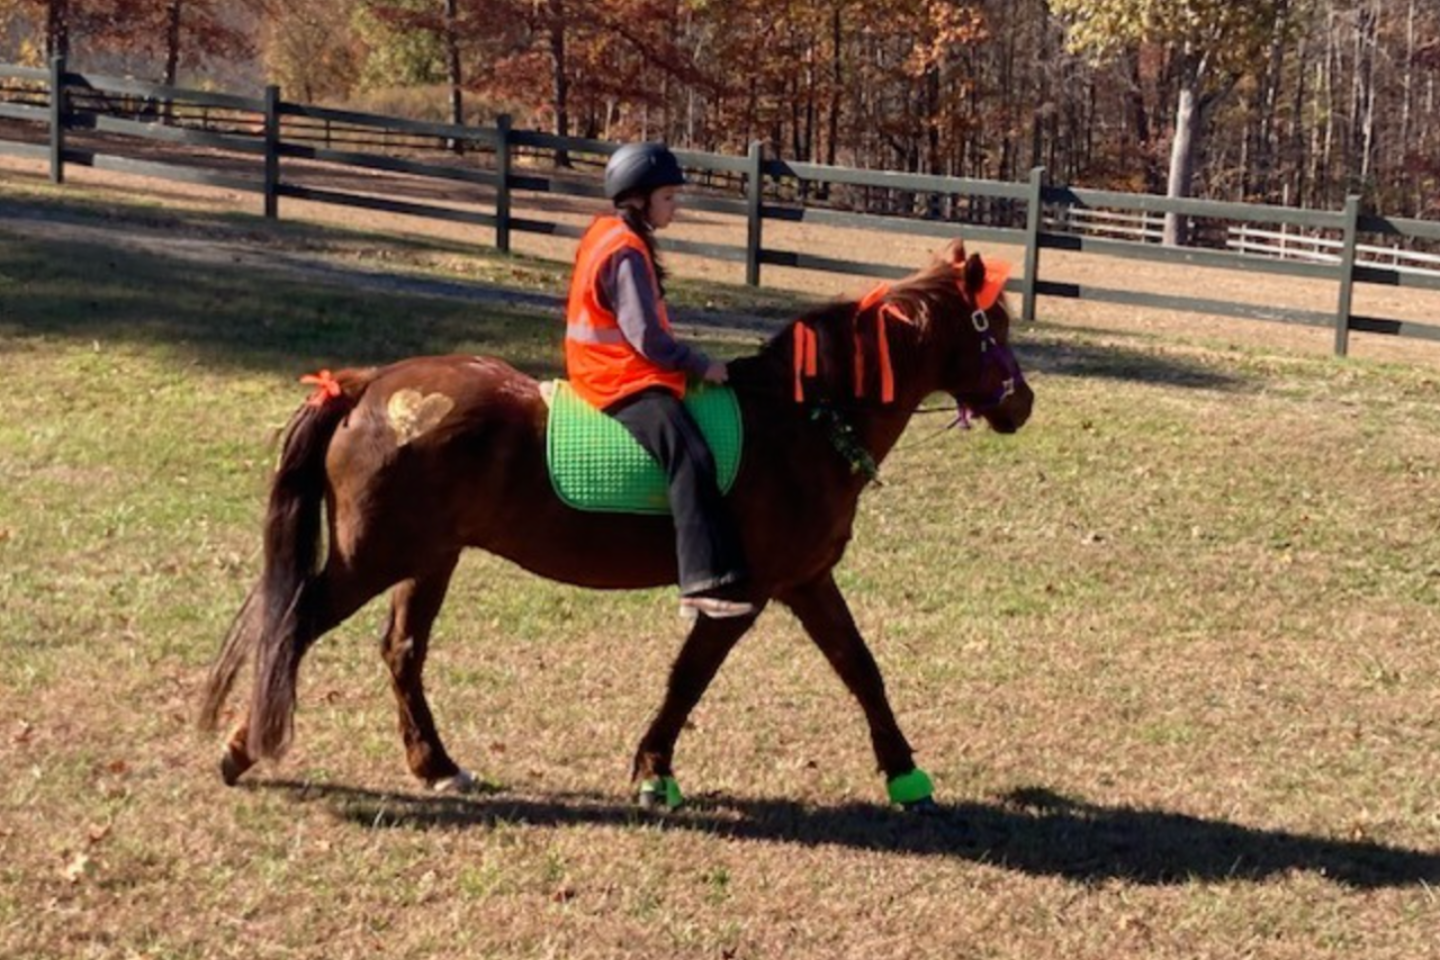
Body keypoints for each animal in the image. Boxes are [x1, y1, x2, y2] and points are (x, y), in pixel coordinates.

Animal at [198, 238, 1035, 810]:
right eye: (991, 326)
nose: (1021, 404)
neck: (802, 422)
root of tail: (368, 385)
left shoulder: (807, 581)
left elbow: (860, 668)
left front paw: (906, 773)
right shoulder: (747, 593)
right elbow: (689, 679)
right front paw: (653, 772)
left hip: (429, 558)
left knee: (401, 653)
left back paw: (436, 766)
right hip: (374, 557)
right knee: (295, 625)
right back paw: (241, 750)